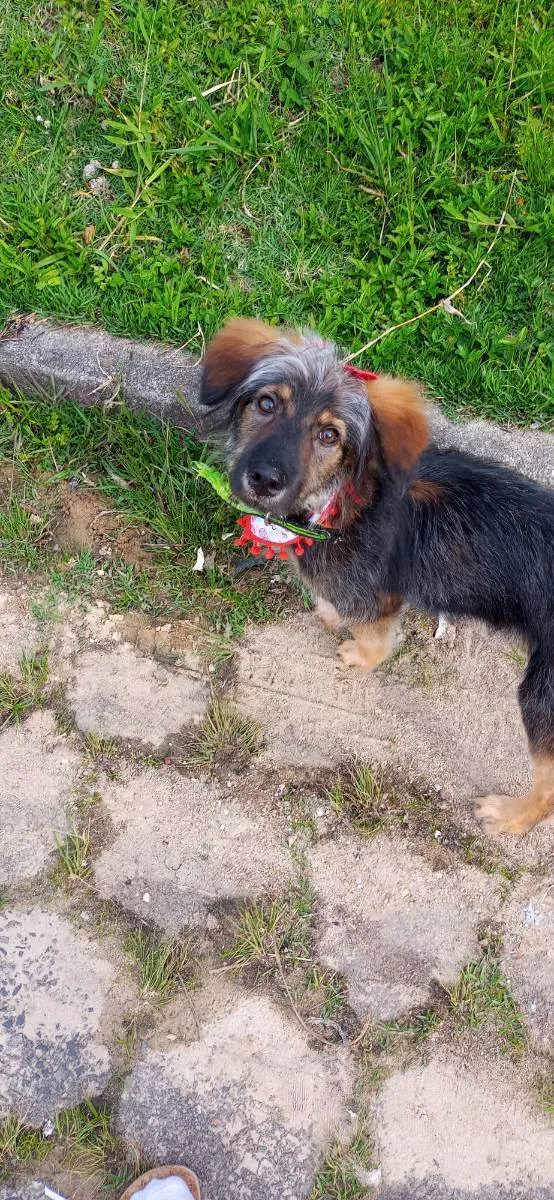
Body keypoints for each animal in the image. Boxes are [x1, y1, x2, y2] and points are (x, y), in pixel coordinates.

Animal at [200, 318, 554, 836]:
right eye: (266, 404)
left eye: (330, 435)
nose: (264, 479)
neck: (340, 500)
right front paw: (328, 613)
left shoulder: (377, 598)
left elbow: (374, 638)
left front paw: (358, 653)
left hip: (541, 695)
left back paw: (510, 816)